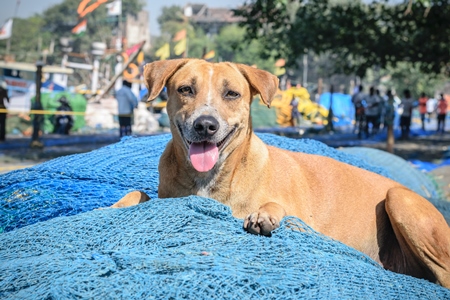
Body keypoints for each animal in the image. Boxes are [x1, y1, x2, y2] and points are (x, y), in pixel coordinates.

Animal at [113, 59, 450, 288]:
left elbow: (274, 205)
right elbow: (138, 193)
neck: (213, 178)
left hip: (399, 200)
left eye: (232, 94)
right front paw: (116, 205)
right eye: (186, 89)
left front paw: (264, 215)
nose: (206, 125)